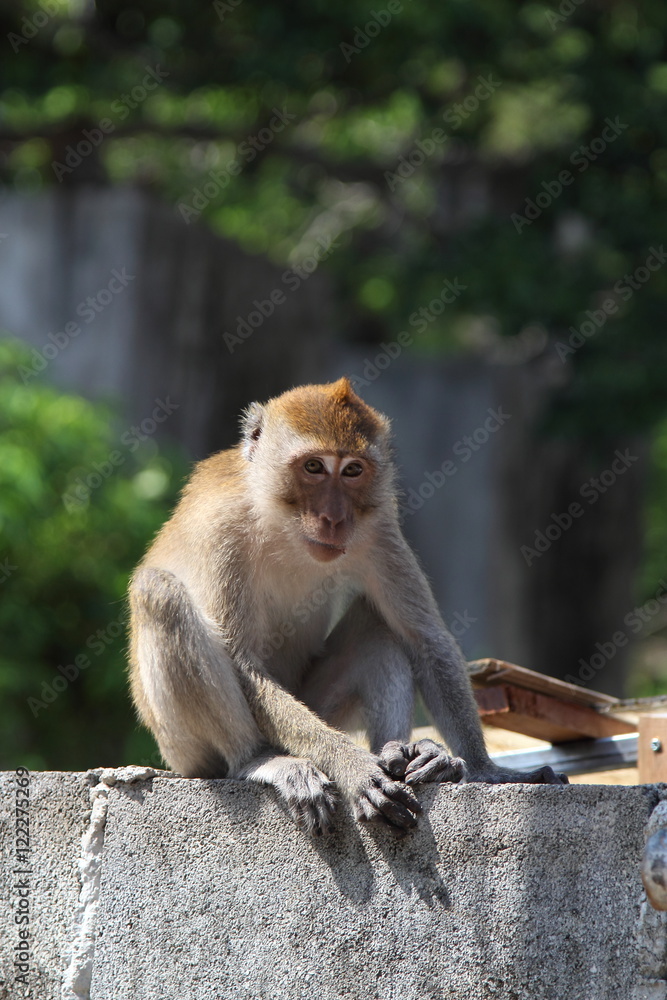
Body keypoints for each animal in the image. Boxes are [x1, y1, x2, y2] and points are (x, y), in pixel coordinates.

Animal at [129, 377, 566, 837]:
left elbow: (424, 637)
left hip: (325, 707)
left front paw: (486, 769)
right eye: (314, 467)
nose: (335, 518)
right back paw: (258, 759)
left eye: (353, 470)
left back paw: (405, 753)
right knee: (159, 594)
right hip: (183, 747)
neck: (280, 521)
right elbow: (244, 664)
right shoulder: (223, 530)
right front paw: (352, 767)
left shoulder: (377, 525)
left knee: (379, 626)